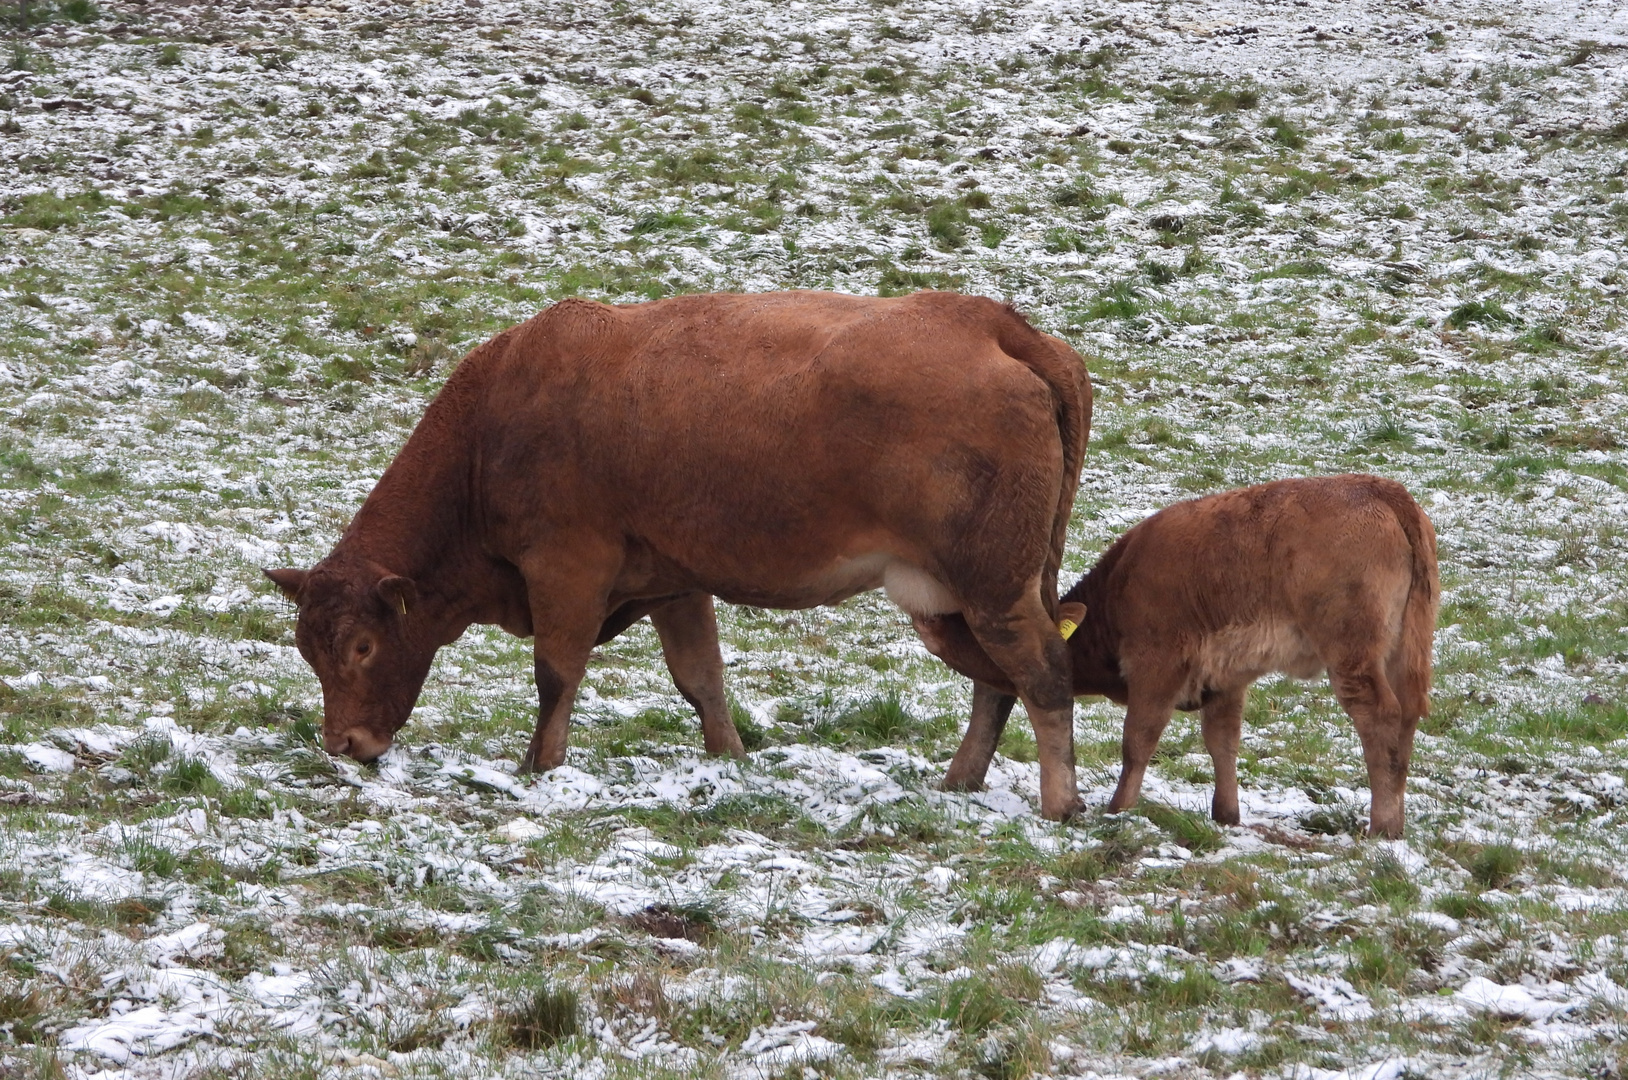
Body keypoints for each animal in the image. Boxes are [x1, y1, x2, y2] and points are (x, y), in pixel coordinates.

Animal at [266, 289, 1094, 820]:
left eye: (364, 646)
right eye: (309, 650)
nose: (343, 744)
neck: (493, 421)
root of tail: (997, 324)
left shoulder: (566, 568)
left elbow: (555, 674)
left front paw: (540, 766)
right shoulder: (673, 579)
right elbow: (701, 677)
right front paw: (728, 759)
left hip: (991, 585)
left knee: (1044, 674)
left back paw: (1060, 804)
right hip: (977, 592)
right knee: (996, 683)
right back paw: (961, 781)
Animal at [918, 478, 1439, 840]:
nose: (932, 620)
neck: (1120, 587)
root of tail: (1381, 489)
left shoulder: (1157, 664)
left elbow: (1138, 739)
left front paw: (1119, 810)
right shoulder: (1228, 679)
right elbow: (1222, 742)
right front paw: (1226, 815)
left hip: (1351, 651)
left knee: (1379, 716)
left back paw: (1382, 826)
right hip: (1406, 649)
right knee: (1407, 717)